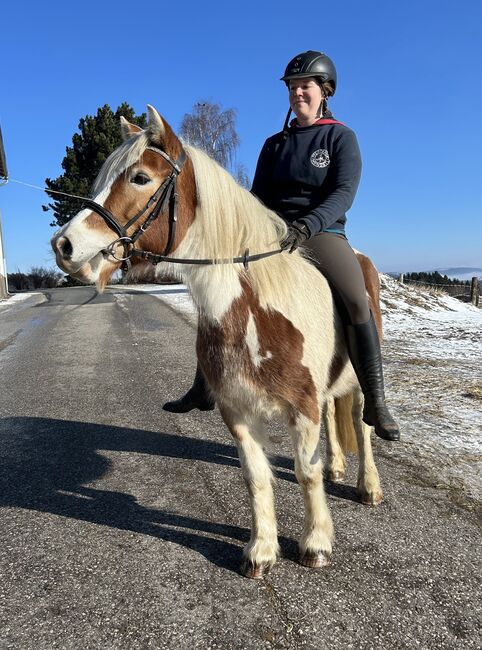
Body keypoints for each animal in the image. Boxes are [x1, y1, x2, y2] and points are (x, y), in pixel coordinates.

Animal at [51, 106, 384, 576]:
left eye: (140, 178)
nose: (64, 245)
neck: (257, 309)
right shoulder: (237, 410)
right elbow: (256, 477)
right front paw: (261, 550)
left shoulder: (302, 408)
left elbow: (306, 471)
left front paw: (316, 543)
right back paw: (339, 467)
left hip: (359, 380)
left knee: (361, 424)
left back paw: (367, 485)